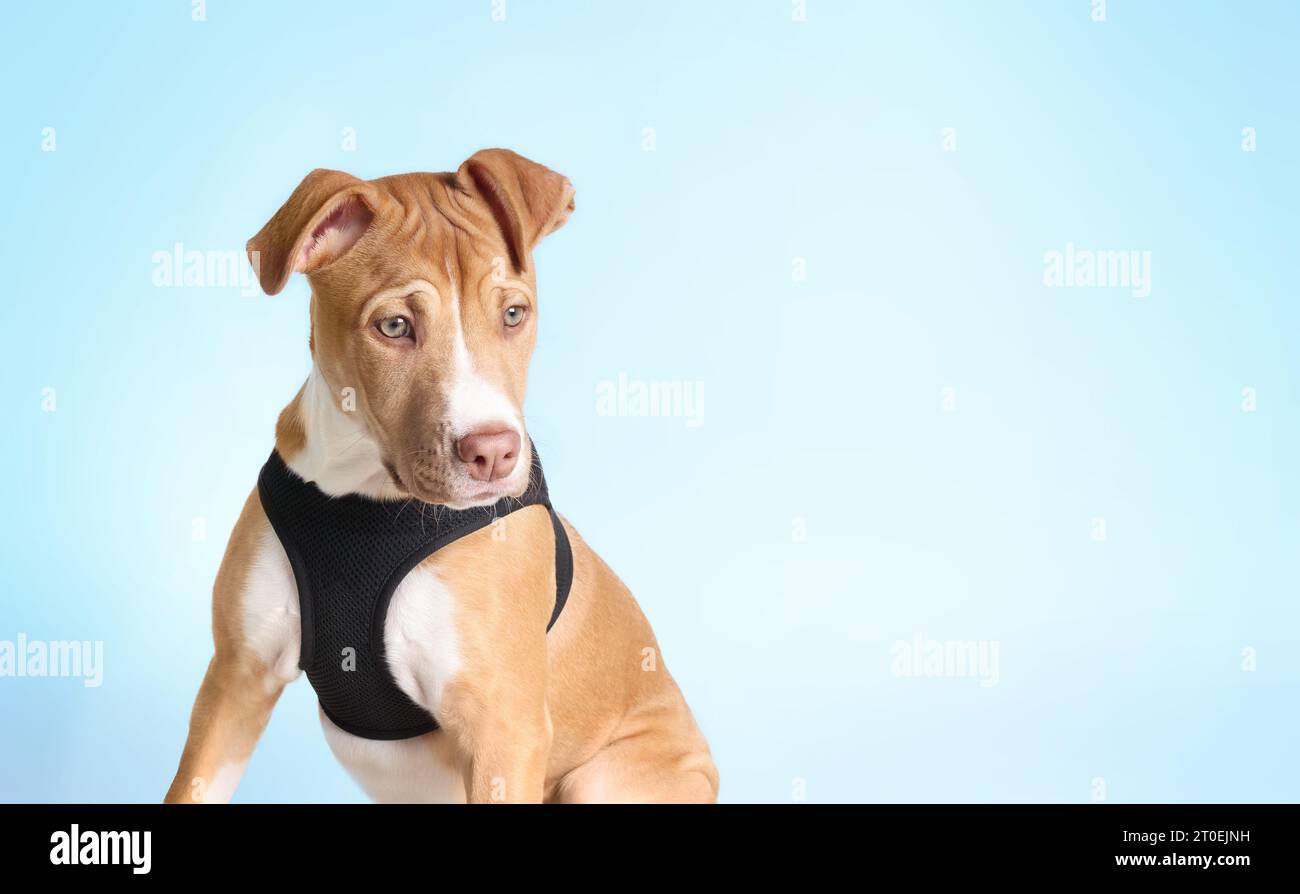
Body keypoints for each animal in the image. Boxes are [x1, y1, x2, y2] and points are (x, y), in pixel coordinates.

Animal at [163, 146, 722, 805]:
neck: (365, 497)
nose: (493, 453)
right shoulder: (236, 679)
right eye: (394, 326)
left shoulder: (503, 730)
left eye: (514, 314)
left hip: (602, 779)